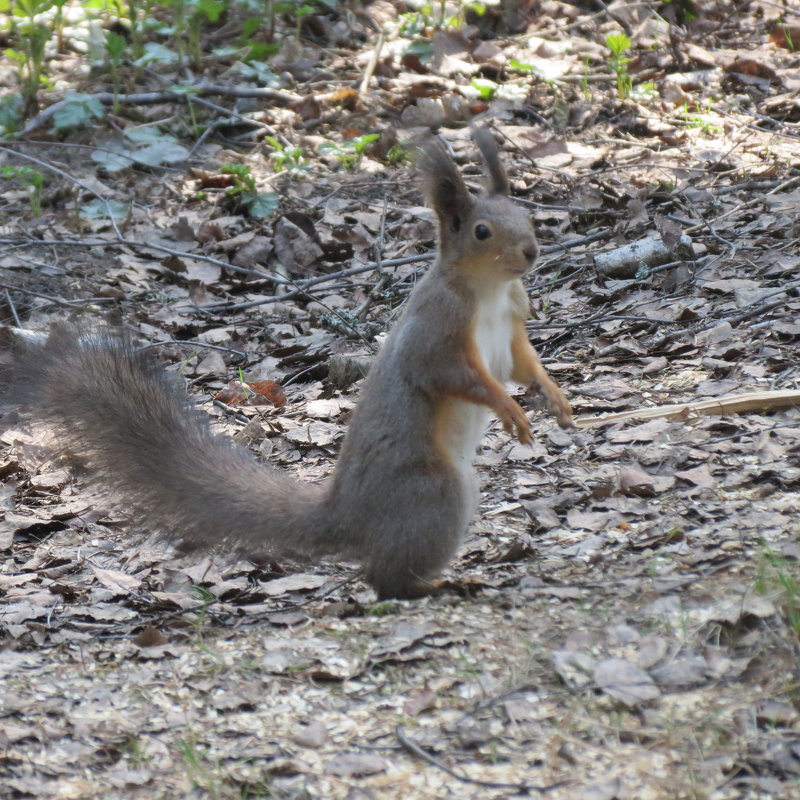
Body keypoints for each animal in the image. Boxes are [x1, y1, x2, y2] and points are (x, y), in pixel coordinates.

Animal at [0, 126, 576, 600]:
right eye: (481, 231)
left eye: (526, 214)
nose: (532, 251)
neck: (489, 290)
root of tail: (347, 518)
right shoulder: (436, 330)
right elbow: (448, 375)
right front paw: (509, 409)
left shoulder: (513, 321)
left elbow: (523, 365)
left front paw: (554, 397)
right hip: (434, 493)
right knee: (383, 581)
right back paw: (437, 584)